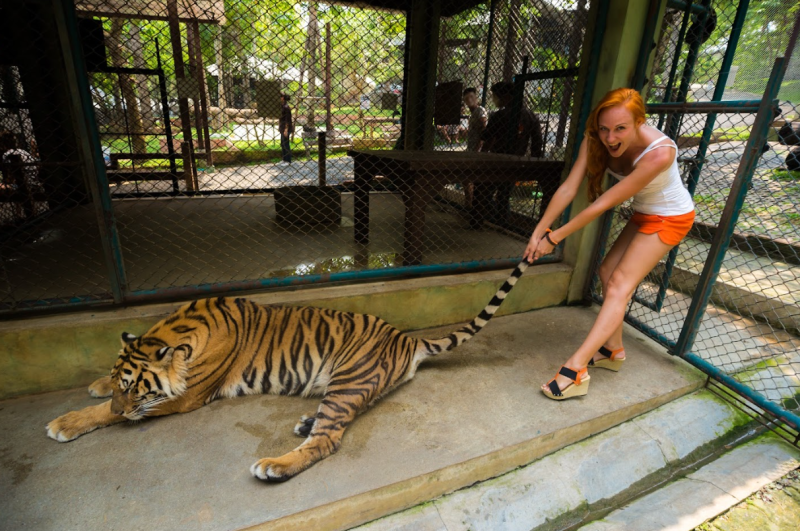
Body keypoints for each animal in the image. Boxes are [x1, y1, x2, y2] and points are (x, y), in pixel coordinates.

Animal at [46, 260, 529, 482]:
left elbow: (110, 415)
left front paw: (64, 423)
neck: (177, 330)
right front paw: (96, 385)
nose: (122, 402)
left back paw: (275, 465)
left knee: (329, 440)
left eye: (136, 389)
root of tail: (405, 339)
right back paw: (303, 424)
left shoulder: (187, 396)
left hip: (348, 379)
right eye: (121, 383)